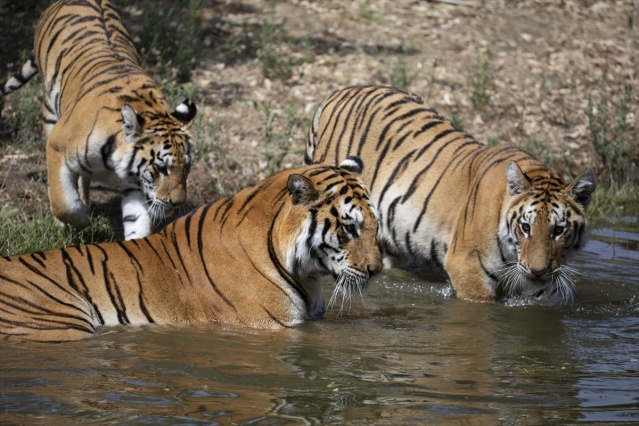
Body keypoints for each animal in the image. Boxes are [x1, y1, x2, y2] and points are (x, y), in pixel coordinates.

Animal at [0, 0, 198, 240]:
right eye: (161, 168)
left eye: (186, 167)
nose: (177, 203)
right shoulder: (56, 146)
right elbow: (64, 203)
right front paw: (80, 222)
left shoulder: (135, 185)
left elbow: (137, 224)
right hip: (49, 111)